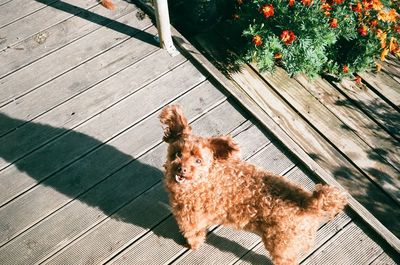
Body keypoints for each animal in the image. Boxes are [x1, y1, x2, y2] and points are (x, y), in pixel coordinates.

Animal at [159, 104, 346, 262]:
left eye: (198, 161)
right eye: (177, 153)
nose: (181, 169)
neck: (203, 180)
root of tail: (309, 202)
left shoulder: (191, 220)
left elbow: (194, 236)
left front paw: (192, 246)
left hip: (282, 246)